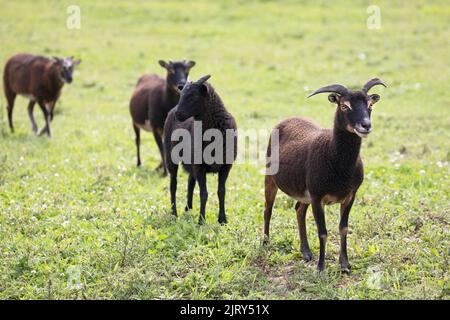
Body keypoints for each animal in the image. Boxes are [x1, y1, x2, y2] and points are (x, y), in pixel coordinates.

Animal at [163, 75, 237, 225]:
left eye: (192, 96)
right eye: (181, 95)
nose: (178, 114)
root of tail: (172, 110)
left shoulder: (226, 166)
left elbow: (221, 192)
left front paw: (222, 219)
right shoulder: (199, 166)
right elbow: (204, 194)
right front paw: (201, 220)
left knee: (190, 182)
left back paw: (188, 209)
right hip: (171, 157)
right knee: (173, 184)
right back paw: (174, 212)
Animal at [264, 79, 386, 272]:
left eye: (370, 105)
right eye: (344, 106)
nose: (366, 126)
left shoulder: (350, 196)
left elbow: (343, 228)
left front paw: (345, 265)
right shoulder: (317, 197)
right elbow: (322, 232)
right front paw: (321, 267)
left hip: (304, 193)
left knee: (299, 210)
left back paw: (306, 252)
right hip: (271, 179)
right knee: (267, 209)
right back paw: (265, 242)